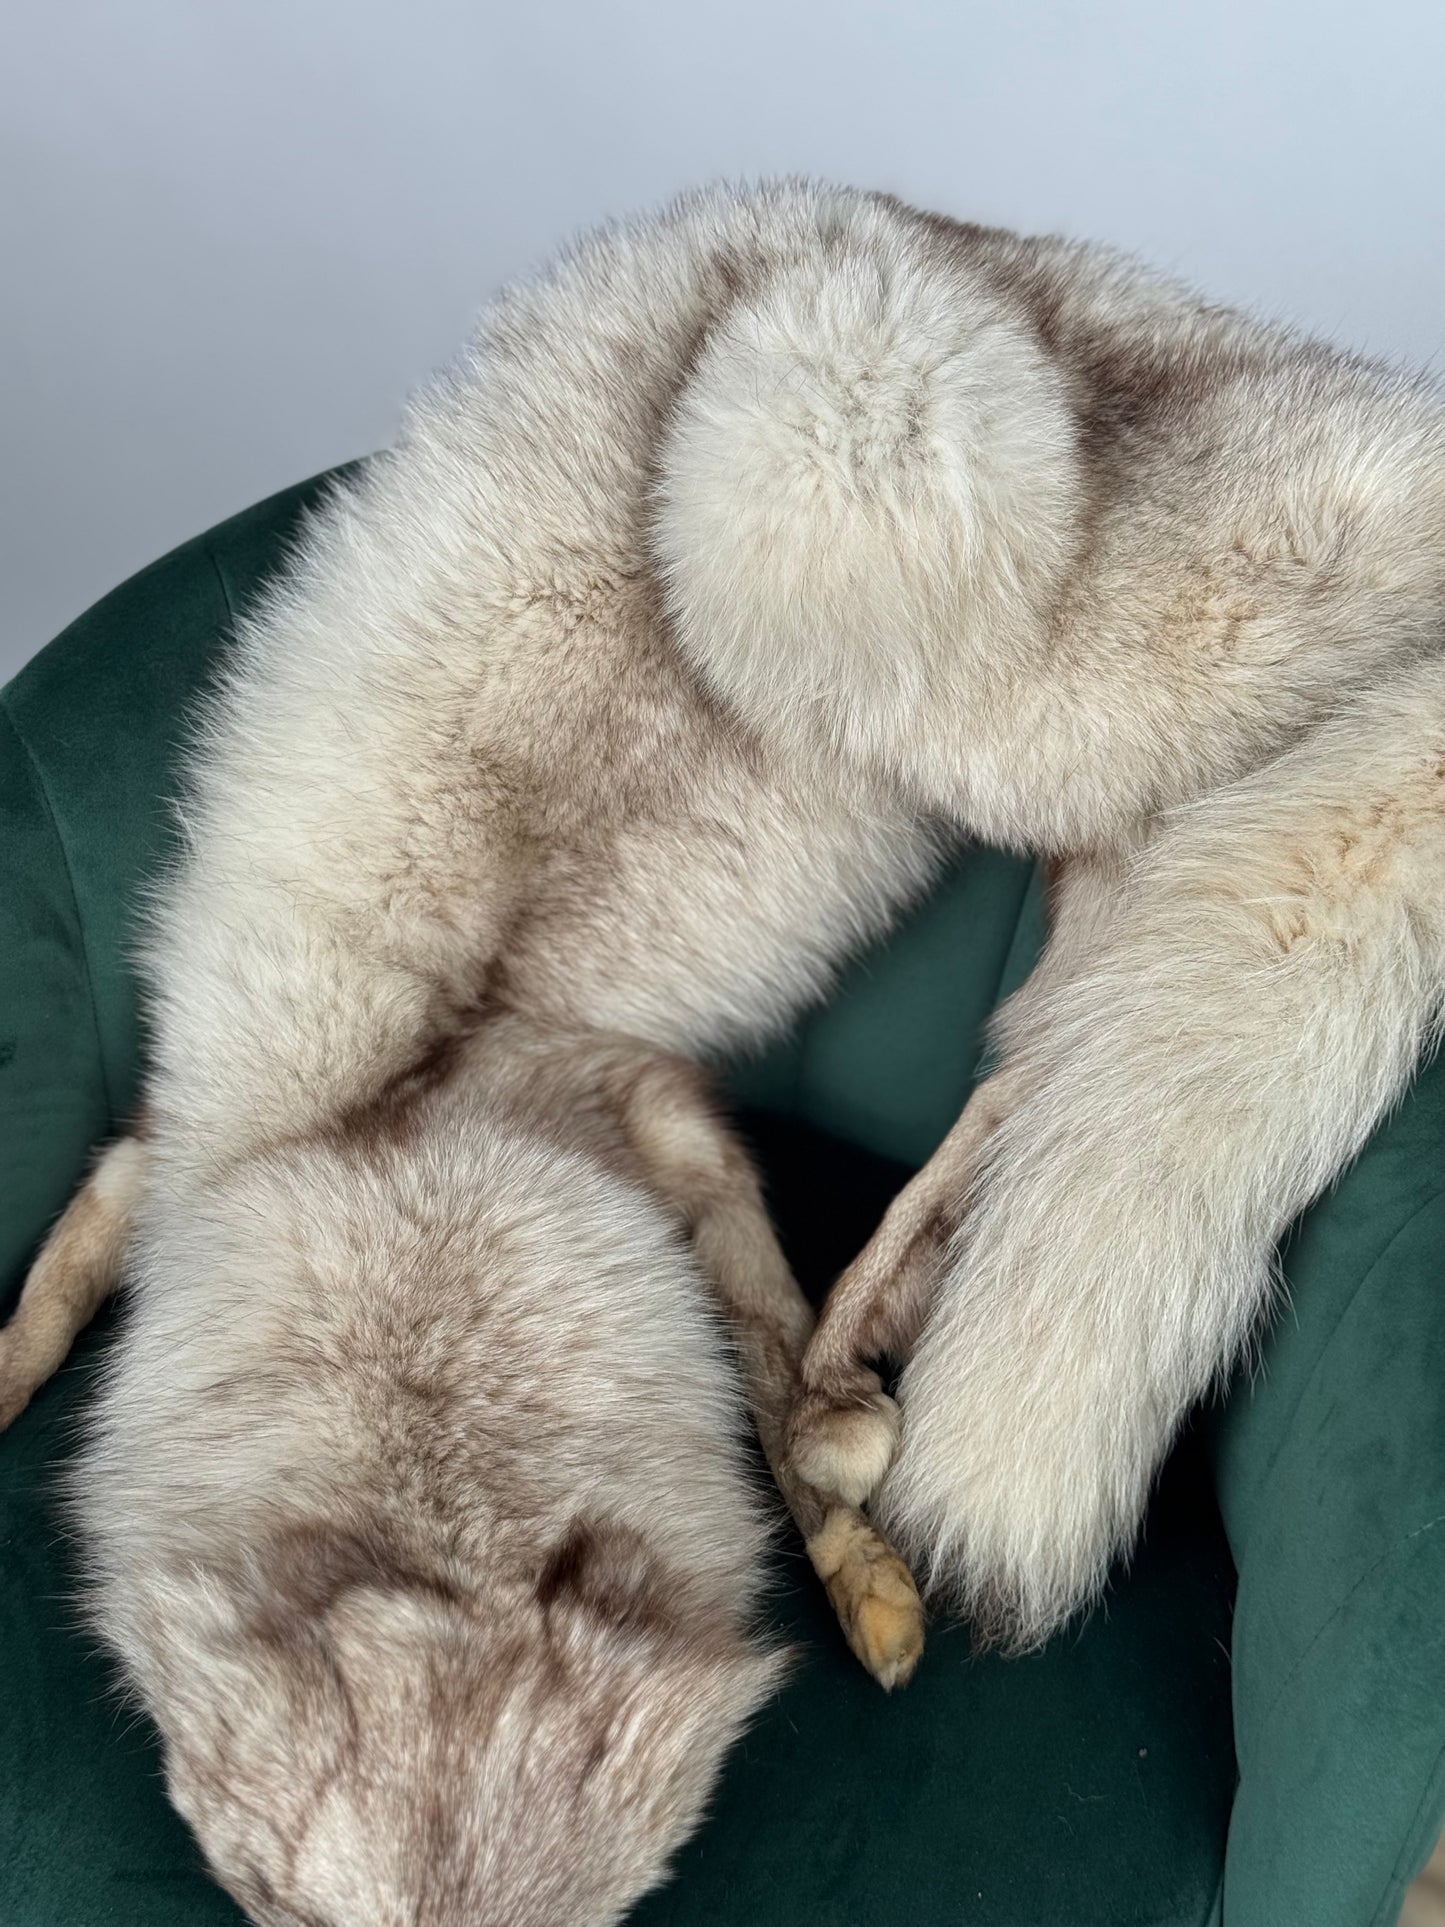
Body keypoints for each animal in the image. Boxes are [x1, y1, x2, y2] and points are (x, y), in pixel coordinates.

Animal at [2, 176, 1444, 1922]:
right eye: (294, 1912)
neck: (403, 1120)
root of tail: (941, 226)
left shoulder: (626, 1106)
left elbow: (749, 1335)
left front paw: (847, 1549)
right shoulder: (254, 1133)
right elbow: (68, 1263)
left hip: (867, 479)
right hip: (1074, 780)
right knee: (1074, 993)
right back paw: (885, 1307)